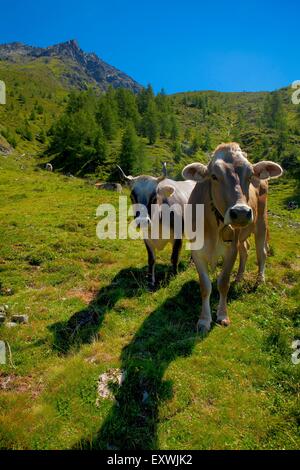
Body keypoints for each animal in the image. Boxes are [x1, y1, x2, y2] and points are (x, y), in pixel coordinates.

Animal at [180, 141, 284, 332]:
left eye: (250, 175)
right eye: (214, 176)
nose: (241, 212)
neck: (212, 225)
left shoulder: (230, 251)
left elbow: (223, 283)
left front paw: (222, 315)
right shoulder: (197, 251)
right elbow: (205, 286)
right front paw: (204, 320)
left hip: (261, 222)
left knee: (262, 252)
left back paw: (259, 280)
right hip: (241, 234)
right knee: (246, 250)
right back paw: (239, 278)